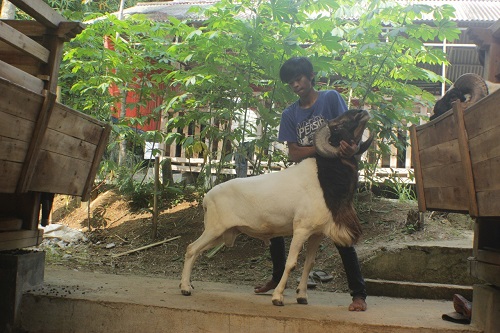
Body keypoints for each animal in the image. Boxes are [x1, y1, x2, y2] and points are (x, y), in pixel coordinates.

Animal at [180, 109, 372, 306]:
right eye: (338, 126)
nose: (363, 112)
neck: (323, 179)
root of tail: (207, 197)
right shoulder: (301, 229)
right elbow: (291, 263)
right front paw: (278, 297)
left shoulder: (316, 234)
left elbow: (309, 263)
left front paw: (302, 296)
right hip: (214, 229)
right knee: (191, 249)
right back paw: (185, 288)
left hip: (223, 233)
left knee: (195, 251)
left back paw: (187, 285)